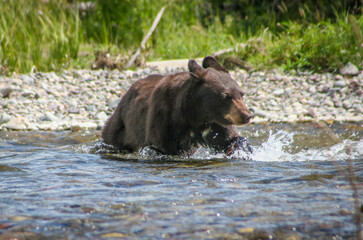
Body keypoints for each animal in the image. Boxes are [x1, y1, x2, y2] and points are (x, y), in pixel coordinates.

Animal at [103, 56, 253, 156]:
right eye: (226, 95)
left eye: (241, 94)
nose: (247, 115)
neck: (198, 115)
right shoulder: (164, 118)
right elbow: (164, 145)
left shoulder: (216, 124)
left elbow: (228, 139)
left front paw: (242, 148)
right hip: (122, 127)